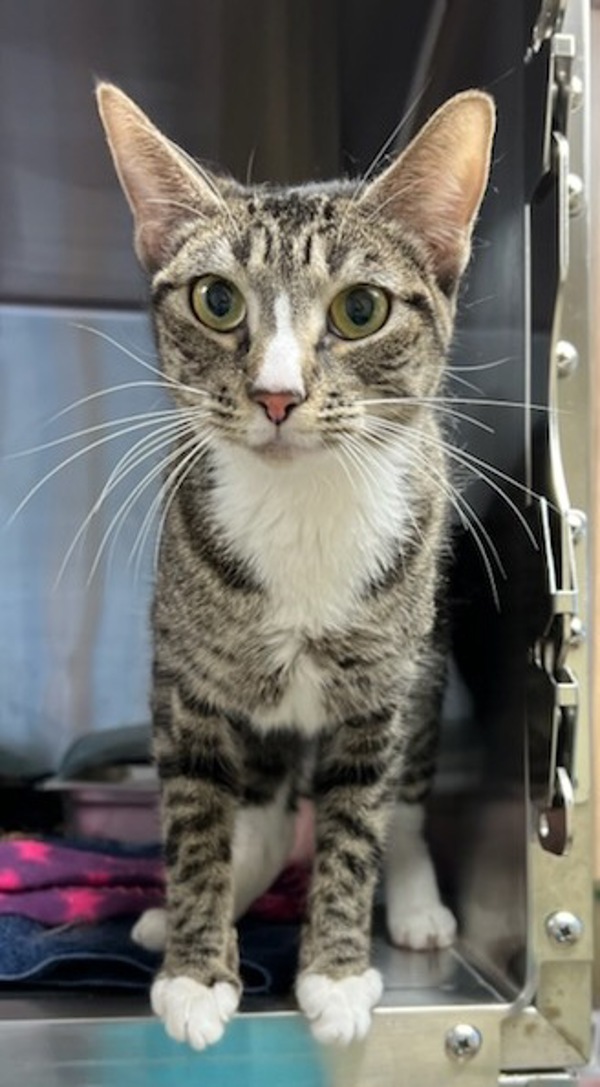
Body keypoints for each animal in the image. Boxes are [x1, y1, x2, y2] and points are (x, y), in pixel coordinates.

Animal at [96, 84, 493, 1052]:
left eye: (361, 309)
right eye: (215, 299)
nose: (277, 395)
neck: (304, 505)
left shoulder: (380, 687)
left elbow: (357, 820)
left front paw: (339, 974)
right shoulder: (188, 677)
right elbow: (197, 815)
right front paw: (197, 969)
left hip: (428, 656)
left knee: (406, 796)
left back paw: (416, 899)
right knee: (268, 808)